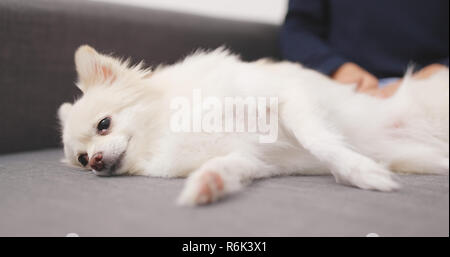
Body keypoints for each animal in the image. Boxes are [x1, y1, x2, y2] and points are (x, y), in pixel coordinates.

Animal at [58, 45, 448, 205]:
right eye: (81, 159)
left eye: (104, 124)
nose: (95, 163)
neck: (166, 130)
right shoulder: (249, 159)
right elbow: (224, 168)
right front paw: (206, 186)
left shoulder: (288, 99)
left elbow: (320, 141)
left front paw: (359, 171)